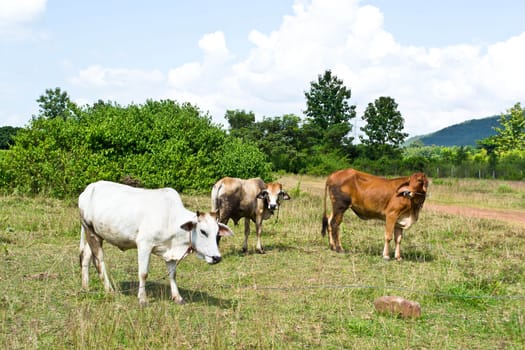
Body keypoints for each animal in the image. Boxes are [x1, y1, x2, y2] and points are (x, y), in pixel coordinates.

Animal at [78, 182, 233, 304]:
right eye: (202, 231)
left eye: (217, 232)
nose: (217, 258)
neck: (171, 219)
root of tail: (88, 189)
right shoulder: (144, 245)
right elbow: (143, 273)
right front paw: (142, 299)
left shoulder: (170, 251)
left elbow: (172, 274)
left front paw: (177, 297)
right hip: (90, 232)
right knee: (99, 260)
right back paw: (109, 289)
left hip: (96, 234)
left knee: (86, 256)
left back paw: (86, 287)